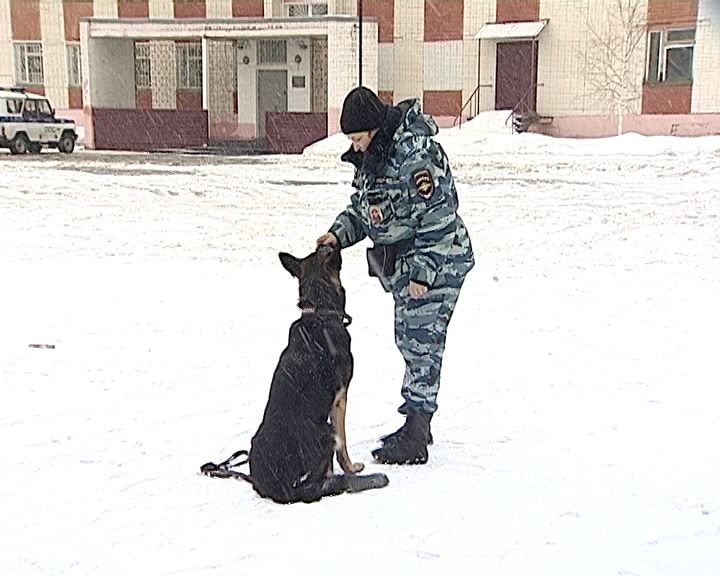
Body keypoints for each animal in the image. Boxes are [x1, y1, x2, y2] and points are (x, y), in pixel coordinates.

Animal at [225, 245, 388, 502]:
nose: (334, 242)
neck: (319, 311)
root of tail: (283, 489)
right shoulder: (340, 399)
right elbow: (343, 446)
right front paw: (351, 468)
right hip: (327, 431)